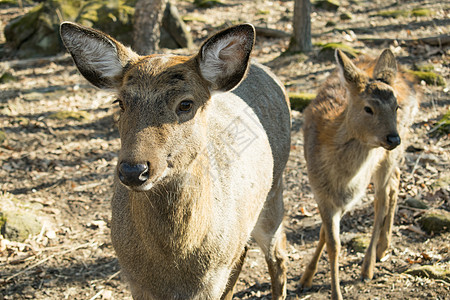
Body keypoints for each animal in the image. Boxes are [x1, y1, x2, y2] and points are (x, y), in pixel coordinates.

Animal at [59, 21, 290, 300]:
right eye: (120, 102)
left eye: (186, 104)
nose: (133, 170)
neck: (174, 266)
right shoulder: (135, 280)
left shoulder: (212, 281)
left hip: (274, 190)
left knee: (278, 254)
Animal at [300, 48, 420, 298]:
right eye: (368, 108)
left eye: (396, 107)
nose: (393, 138)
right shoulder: (321, 192)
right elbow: (328, 237)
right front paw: (305, 278)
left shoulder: (352, 193)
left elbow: (334, 244)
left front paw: (336, 293)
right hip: (389, 158)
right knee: (395, 181)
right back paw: (383, 247)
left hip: (389, 156)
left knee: (381, 200)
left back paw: (368, 266)